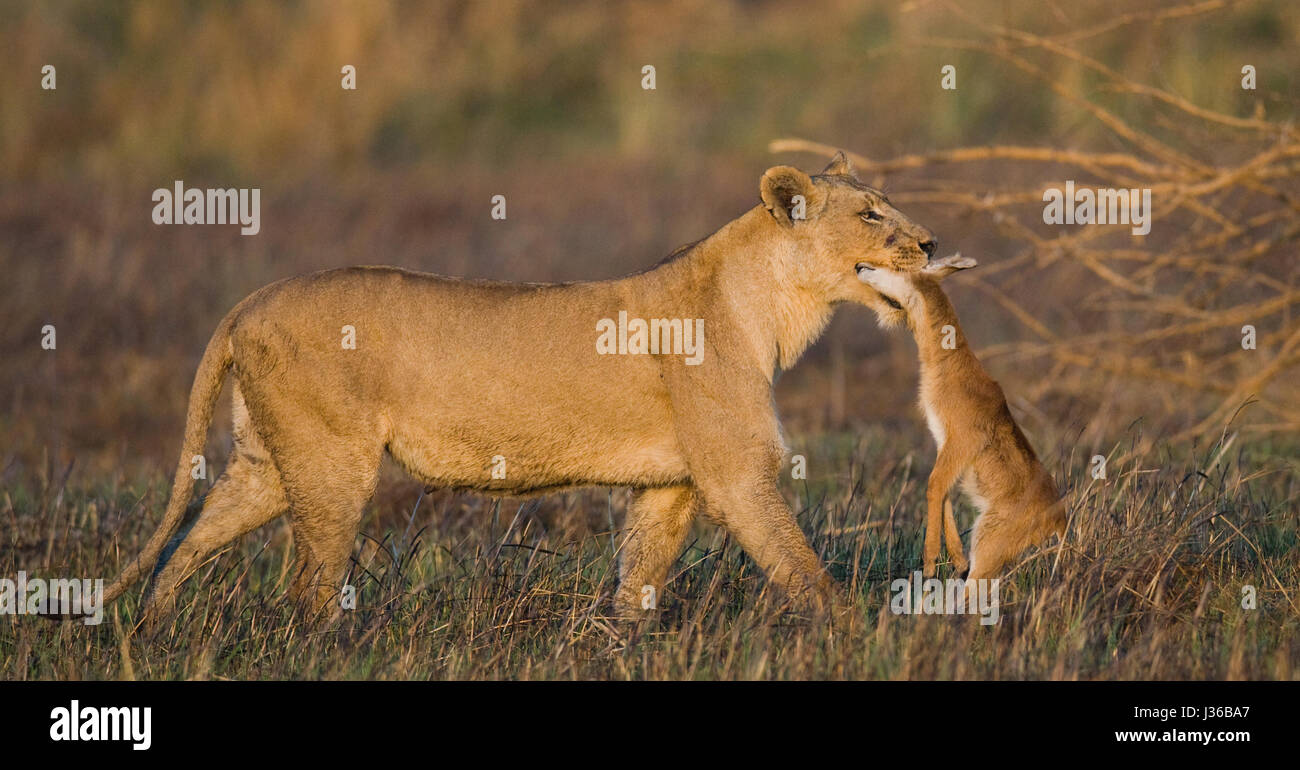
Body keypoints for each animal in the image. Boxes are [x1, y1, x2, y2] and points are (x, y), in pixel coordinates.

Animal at [857, 256, 1060, 580]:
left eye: (901, 267)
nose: (860, 266)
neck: (950, 368)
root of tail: (1059, 521)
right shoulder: (945, 444)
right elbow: (945, 493)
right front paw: (957, 558)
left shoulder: (962, 440)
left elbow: (933, 486)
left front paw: (929, 563)